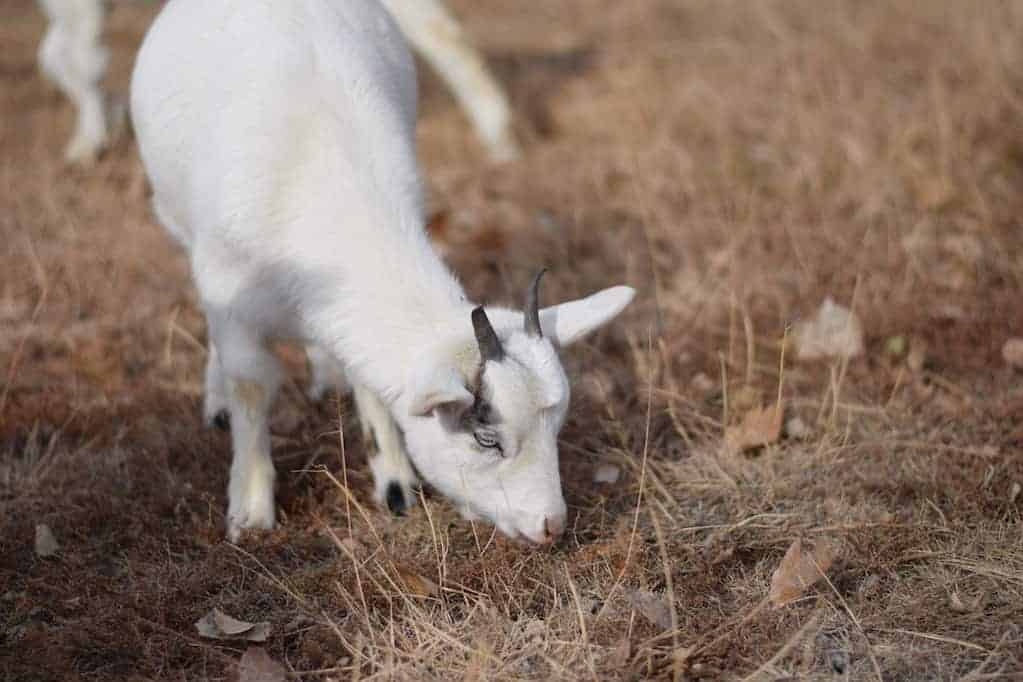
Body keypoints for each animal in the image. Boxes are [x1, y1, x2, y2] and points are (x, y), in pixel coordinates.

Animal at [37, 0, 519, 163]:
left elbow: (76, 58)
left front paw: (91, 140)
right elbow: (59, 56)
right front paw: (105, 123)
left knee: (439, 30)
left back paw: (500, 138)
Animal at [131, 0, 634, 543]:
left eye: (556, 427)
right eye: (486, 439)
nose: (551, 525)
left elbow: (367, 380)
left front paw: (395, 484)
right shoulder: (231, 295)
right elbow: (250, 387)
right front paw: (251, 511)